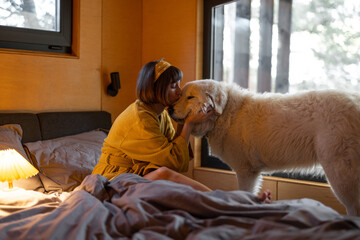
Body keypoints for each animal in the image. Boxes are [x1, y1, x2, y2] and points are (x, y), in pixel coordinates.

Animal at [169, 79, 360, 216]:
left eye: (190, 97)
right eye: (180, 95)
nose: (169, 108)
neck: (227, 114)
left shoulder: (245, 172)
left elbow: (243, 193)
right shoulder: (251, 172)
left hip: (340, 175)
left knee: (353, 207)